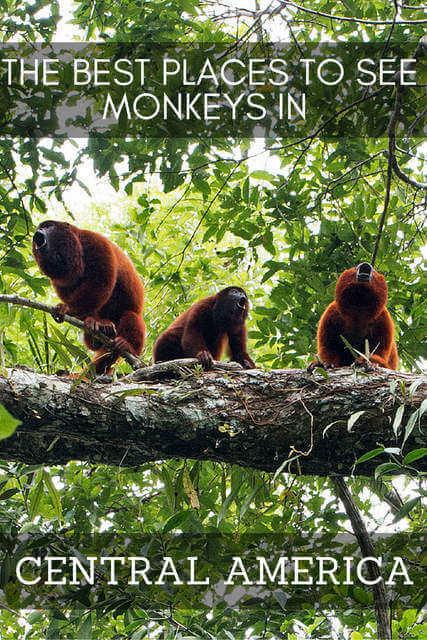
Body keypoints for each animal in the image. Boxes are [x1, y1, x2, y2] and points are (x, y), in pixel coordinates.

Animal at [32, 220, 145, 374]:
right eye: (39, 228)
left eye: (48, 226)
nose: (37, 233)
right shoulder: (57, 280)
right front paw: (91, 321)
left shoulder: (95, 242)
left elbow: (99, 283)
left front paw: (67, 309)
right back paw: (99, 330)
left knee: (131, 315)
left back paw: (127, 346)